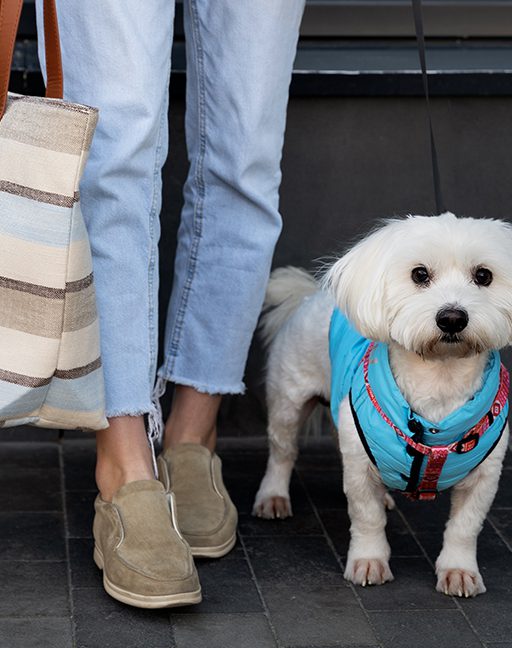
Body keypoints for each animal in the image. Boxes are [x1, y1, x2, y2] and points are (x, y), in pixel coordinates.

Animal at [252, 213, 512, 596]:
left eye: (483, 276)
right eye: (419, 274)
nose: (452, 317)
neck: (440, 380)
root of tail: (311, 295)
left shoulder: (485, 475)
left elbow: (465, 526)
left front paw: (458, 569)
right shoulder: (359, 469)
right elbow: (366, 515)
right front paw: (369, 560)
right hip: (289, 399)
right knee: (282, 452)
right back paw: (273, 496)